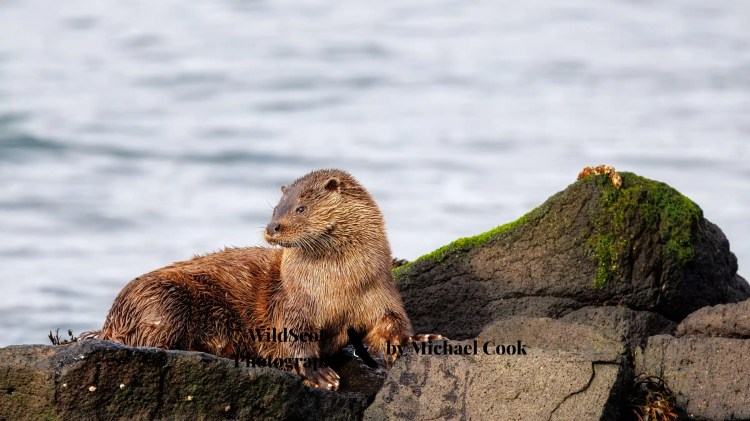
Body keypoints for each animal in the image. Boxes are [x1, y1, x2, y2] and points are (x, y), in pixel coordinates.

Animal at [99, 169, 436, 390]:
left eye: (300, 208)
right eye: (275, 209)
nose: (273, 227)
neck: (339, 286)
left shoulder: (380, 293)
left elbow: (392, 325)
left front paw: (419, 339)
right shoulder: (293, 303)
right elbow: (291, 336)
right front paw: (319, 374)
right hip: (162, 298)